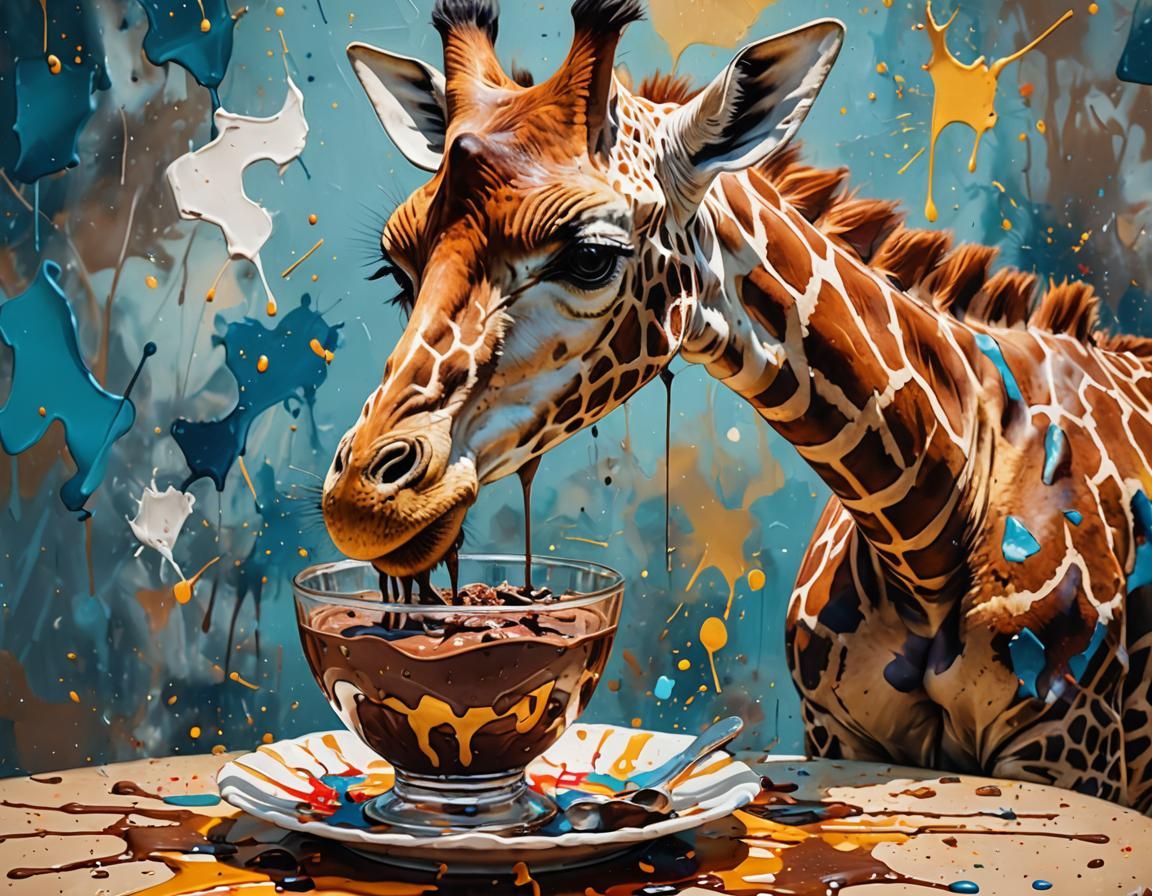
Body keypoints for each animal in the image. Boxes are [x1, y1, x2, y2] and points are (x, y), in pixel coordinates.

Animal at [322, 0, 1152, 810]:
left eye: (590, 255)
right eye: (396, 267)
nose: (362, 502)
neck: (929, 523)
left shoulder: (1067, 752)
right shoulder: (837, 731)